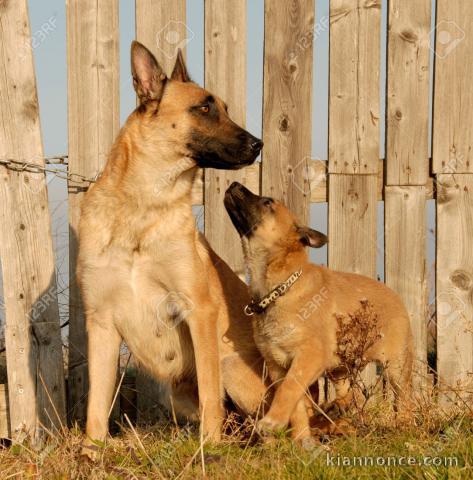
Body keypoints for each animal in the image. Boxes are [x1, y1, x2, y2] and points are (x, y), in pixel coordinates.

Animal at [79, 42, 268, 458]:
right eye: (204, 108)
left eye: (224, 107)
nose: (258, 144)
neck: (142, 210)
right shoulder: (100, 322)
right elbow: (96, 403)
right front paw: (90, 453)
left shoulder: (200, 310)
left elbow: (211, 395)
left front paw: (209, 449)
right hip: (176, 394)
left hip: (233, 367)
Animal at [223, 183, 412, 442]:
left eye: (268, 203)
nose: (233, 184)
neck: (280, 289)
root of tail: (395, 295)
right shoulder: (277, 366)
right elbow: (296, 405)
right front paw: (301, 439)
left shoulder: (307, 357)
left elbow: (288, 390)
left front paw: (272, 422)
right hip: (339, 367)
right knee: (348, 392)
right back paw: (338, 408)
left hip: (396, 366)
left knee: (402, 399)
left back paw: (404, 425)